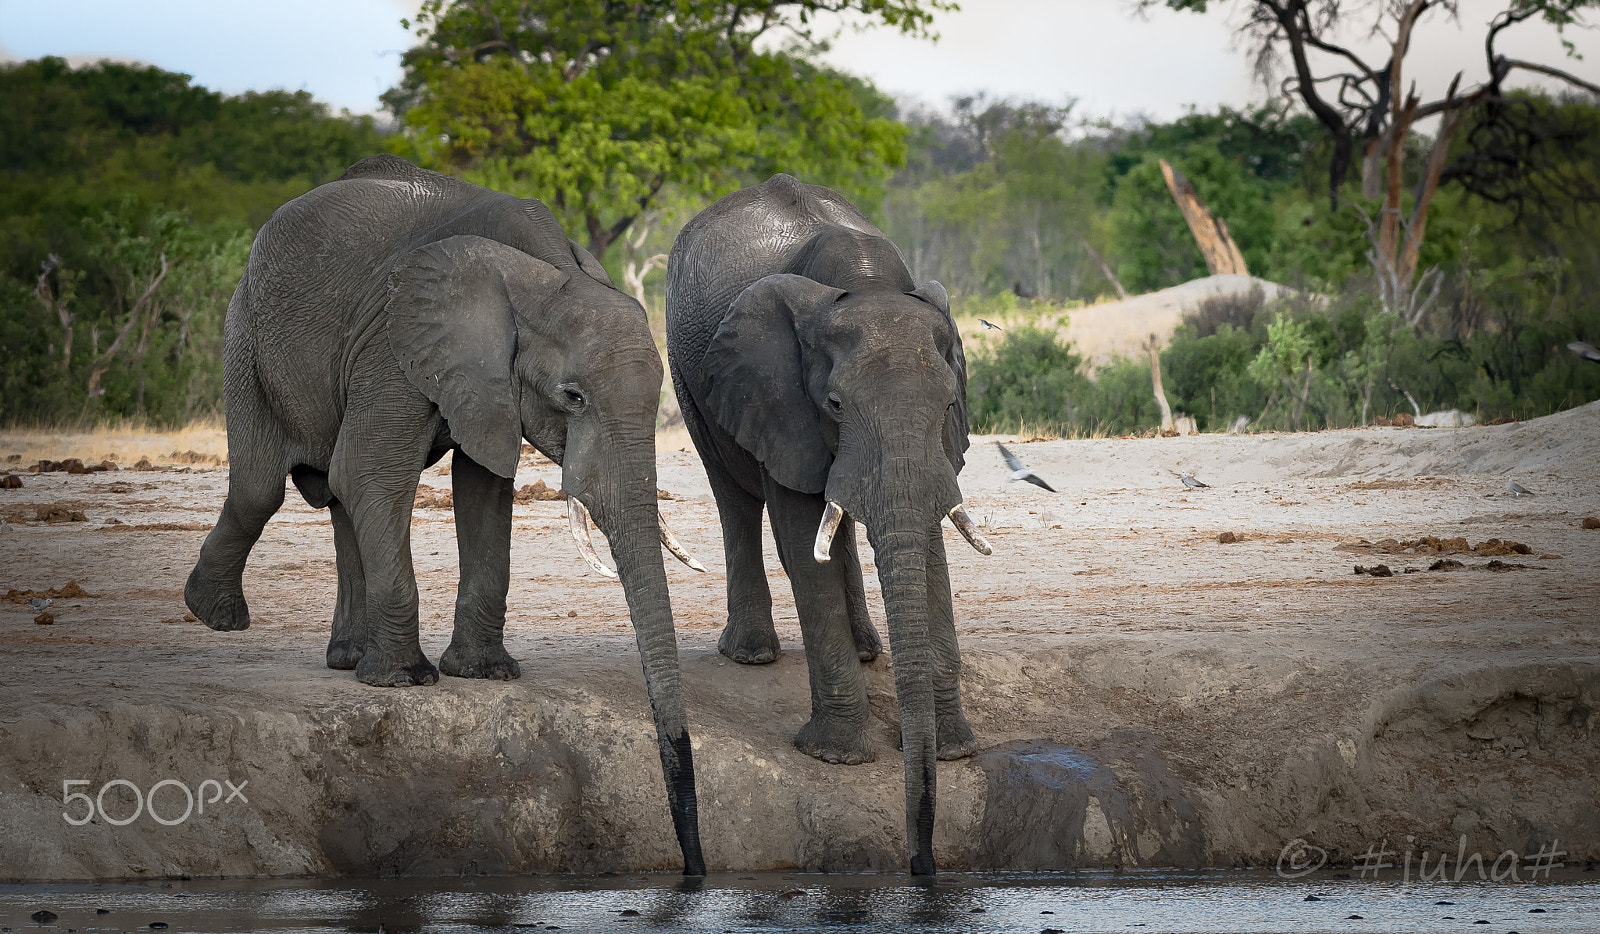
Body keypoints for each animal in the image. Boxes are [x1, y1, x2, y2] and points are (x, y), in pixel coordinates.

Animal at [185, 153, 707, 876]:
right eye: (572, 396)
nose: (694, 870)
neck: (540, 276)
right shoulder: (395, 339)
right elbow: (373, 469)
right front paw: (406, 684)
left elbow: (483, 484)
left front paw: (482, 674)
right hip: (247, 335)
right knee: (264, 487)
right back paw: (216, 615)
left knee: (333, 496)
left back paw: (347, 659)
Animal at [662, 169, 985, 876]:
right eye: (834, 404)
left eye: (950, 401)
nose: (923, 866)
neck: (865, 285)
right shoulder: (779, 397)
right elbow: (797, 530)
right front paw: (836, 757)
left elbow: (925, 540)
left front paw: (955, 750)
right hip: (686, 369)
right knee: (733, 494)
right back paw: (751, 654)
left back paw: (868, 649)